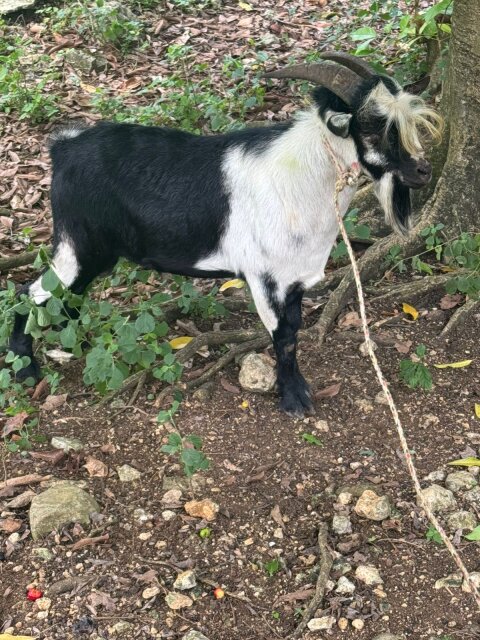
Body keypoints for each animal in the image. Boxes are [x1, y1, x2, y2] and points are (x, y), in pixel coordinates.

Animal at [9, 52, 442, 417]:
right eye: (373, 127)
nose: (423, 171)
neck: (301, 178)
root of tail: (63, 148)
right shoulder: (264, 276)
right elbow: (283, 336)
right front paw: (294, 400)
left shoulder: (294, 278)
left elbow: (295, 329)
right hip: (78, 243)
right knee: (30, 292)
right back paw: (25, 370)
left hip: (96, 252)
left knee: (68, 295)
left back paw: (74, 343)